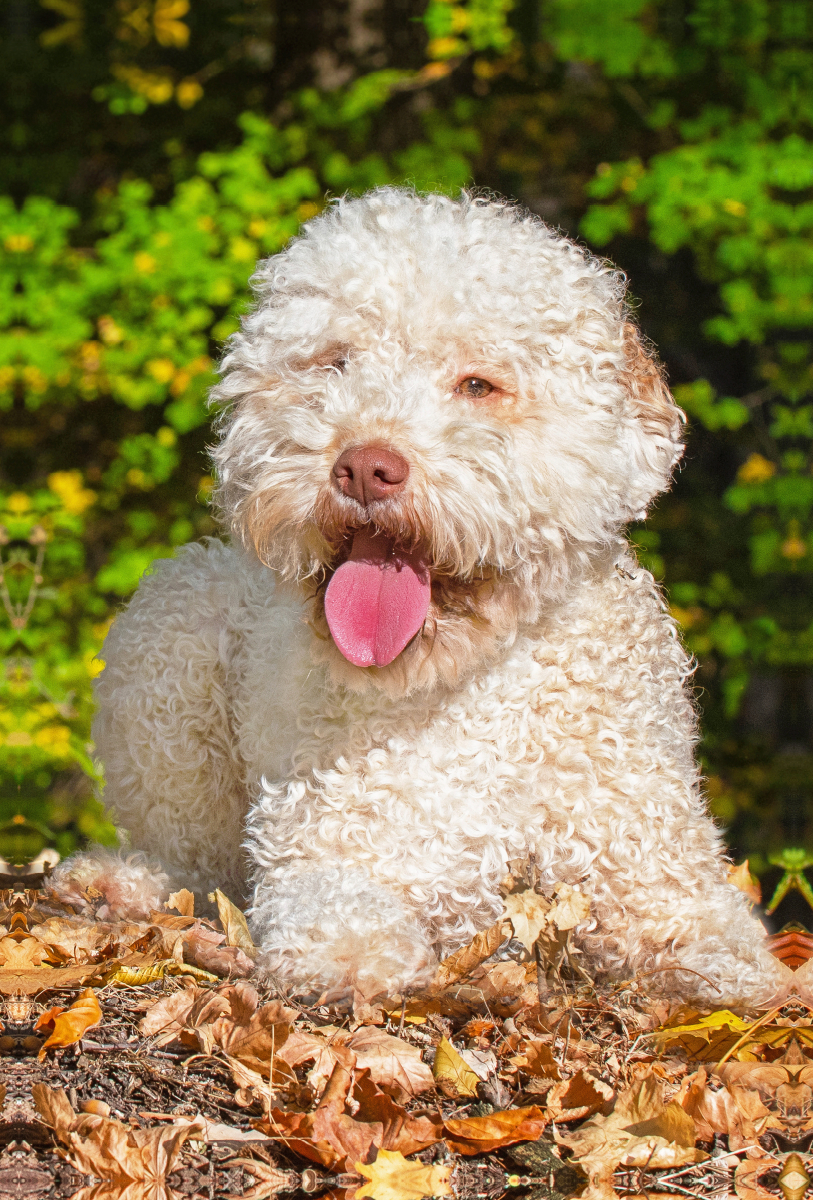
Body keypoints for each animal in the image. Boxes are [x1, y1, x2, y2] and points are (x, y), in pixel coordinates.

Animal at [59, 189, 796, 1003]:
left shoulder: (652, 864)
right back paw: (118, 882)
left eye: (478, 385)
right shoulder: (329, 840)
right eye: (335, 363)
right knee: (197, 861)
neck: (468, 678)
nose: (363, 467)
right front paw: (348, 957)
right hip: (169, 628)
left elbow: (709, 932)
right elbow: (333, 903)